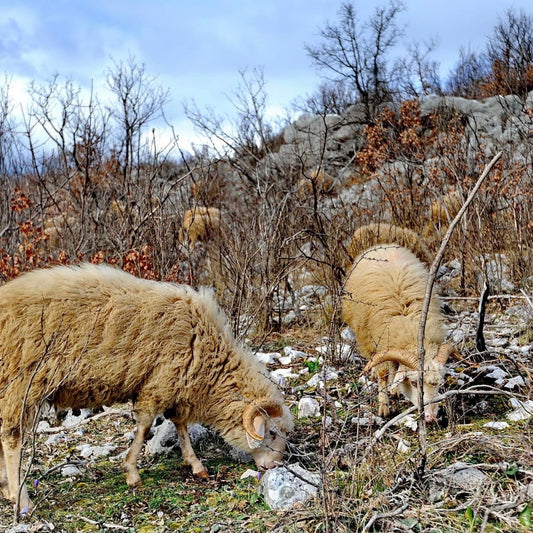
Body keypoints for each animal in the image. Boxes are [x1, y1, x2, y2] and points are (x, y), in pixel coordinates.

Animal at [0, 262, 294, 512]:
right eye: (271, 432)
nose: (276, 465)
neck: (207, 352)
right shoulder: (158, 382)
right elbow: (144, 426)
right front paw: (132, 472)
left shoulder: (177, 383)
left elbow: (180, 425)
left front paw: (195, 464)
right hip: (20, 385)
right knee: (12, 439)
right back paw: (21, 499)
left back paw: (7, 489)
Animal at [340, 243, 458, 422]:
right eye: (415, 383)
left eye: (438, 383)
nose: (430, 417)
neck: (409, 326)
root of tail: (384, 245)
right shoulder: (379, 342)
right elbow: (382, 373)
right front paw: (384, 407)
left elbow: (394, 369)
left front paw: (394, 390)